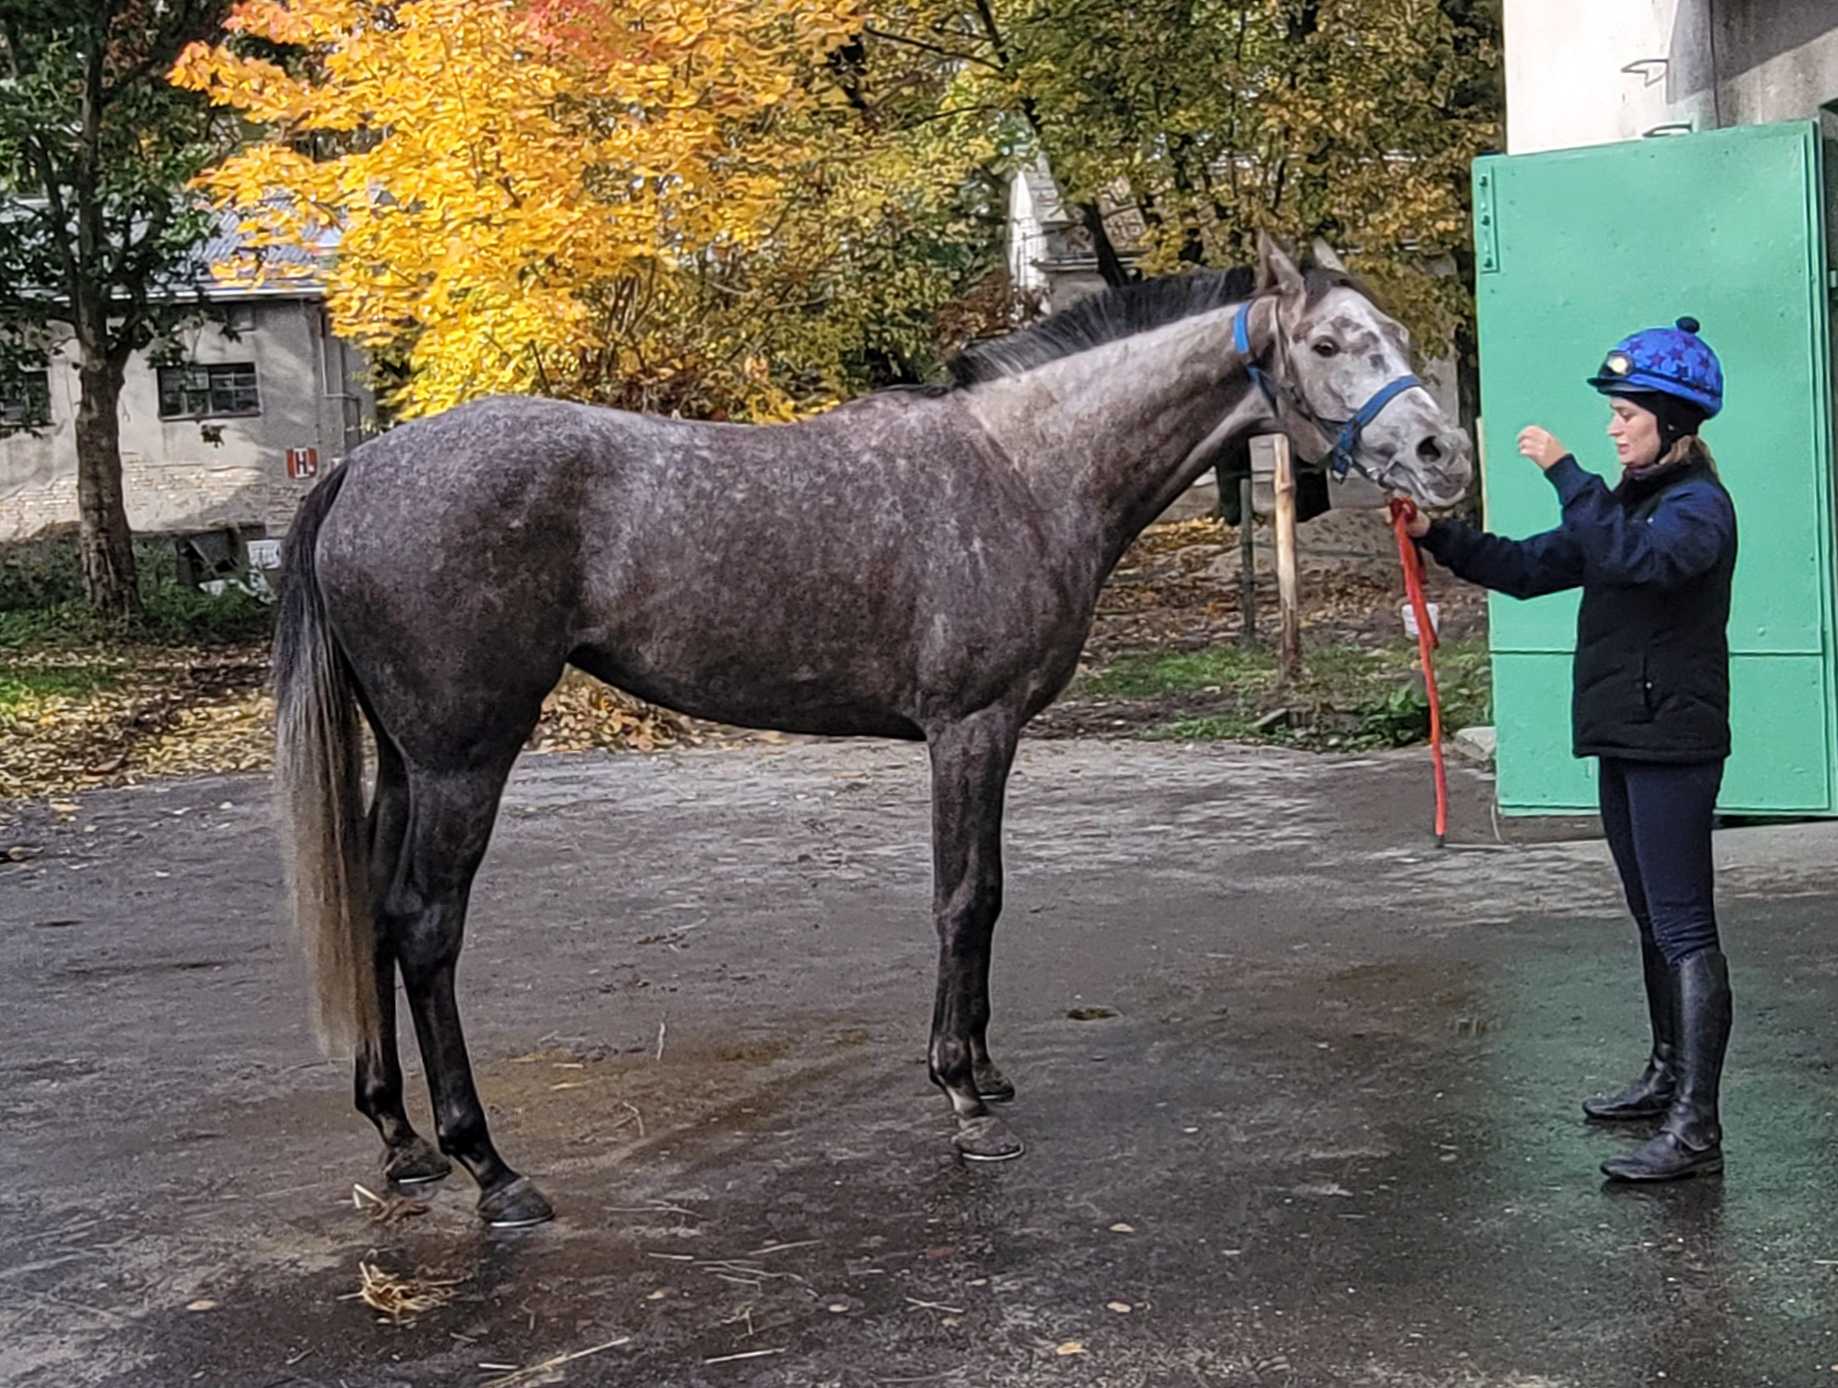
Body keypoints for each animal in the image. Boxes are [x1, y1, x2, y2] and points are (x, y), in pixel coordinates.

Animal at [273, 235, 1472, 1226]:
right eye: (1327, 342)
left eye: (1402, 337)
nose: (1441, 455)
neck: (1022, 468)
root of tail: (363, 465)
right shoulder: (969, 729)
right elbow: (963, 897)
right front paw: (962, 1097)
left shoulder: (992, 735)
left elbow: (986, 895)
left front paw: (982, 1068)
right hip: (464, 759)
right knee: (427, 929)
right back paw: (490, 1167)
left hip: (405, 761)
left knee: (374, 912)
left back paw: (401, 1140)